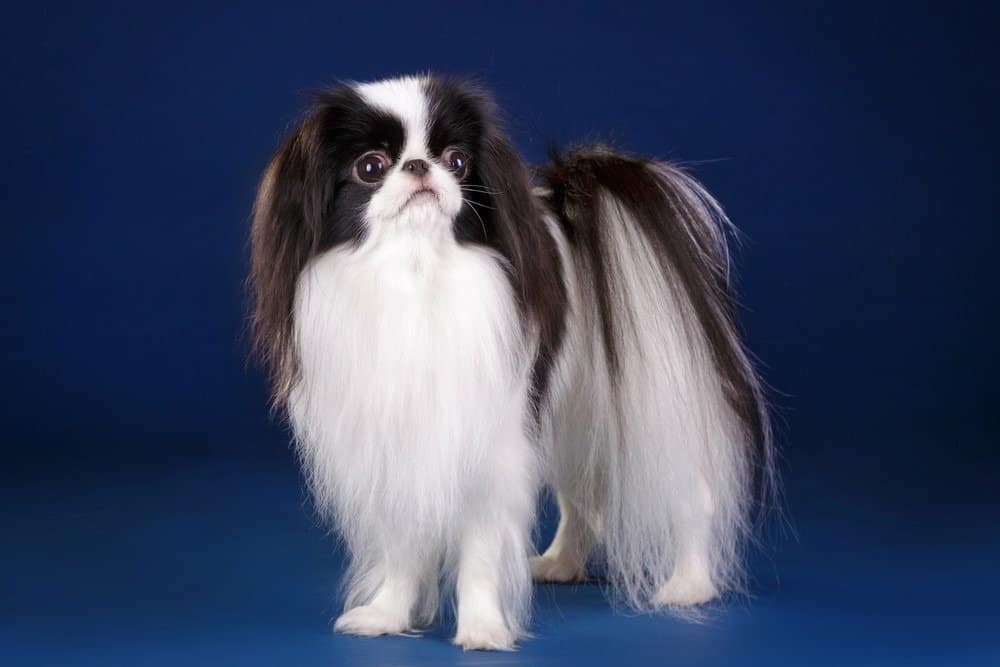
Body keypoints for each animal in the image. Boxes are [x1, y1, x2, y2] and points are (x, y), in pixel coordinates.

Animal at [248, 74, 772, 652]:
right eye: (370, 167)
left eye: (456, 160)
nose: (419, 166)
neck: (416, 273)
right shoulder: (401, 449)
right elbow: (404, 548)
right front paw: (386, 614)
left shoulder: (489, 450)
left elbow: (479, 554)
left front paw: (482, 629)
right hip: (573, 418)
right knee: (579, 499)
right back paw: (561, 563)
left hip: (652, 413)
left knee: (692, 496)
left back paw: (688, 585)